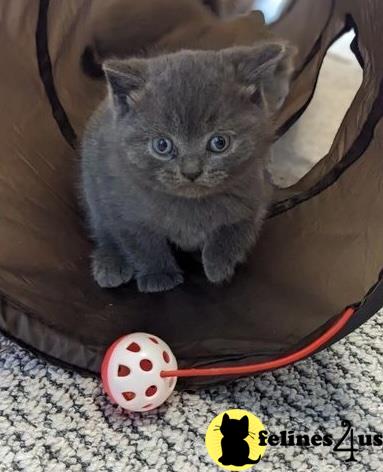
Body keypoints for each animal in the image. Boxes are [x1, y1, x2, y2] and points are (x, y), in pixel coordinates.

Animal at [81, 42, 294, 292]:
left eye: (219, 143)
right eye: (162, 145)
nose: (191, 171)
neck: (190, 205)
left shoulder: (256, 189)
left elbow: (237, 228)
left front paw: (217, 265)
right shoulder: (123, 207)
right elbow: (142, 243)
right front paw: (159, 274)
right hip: (93, 188)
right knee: (103, 229)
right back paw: (110, 263)